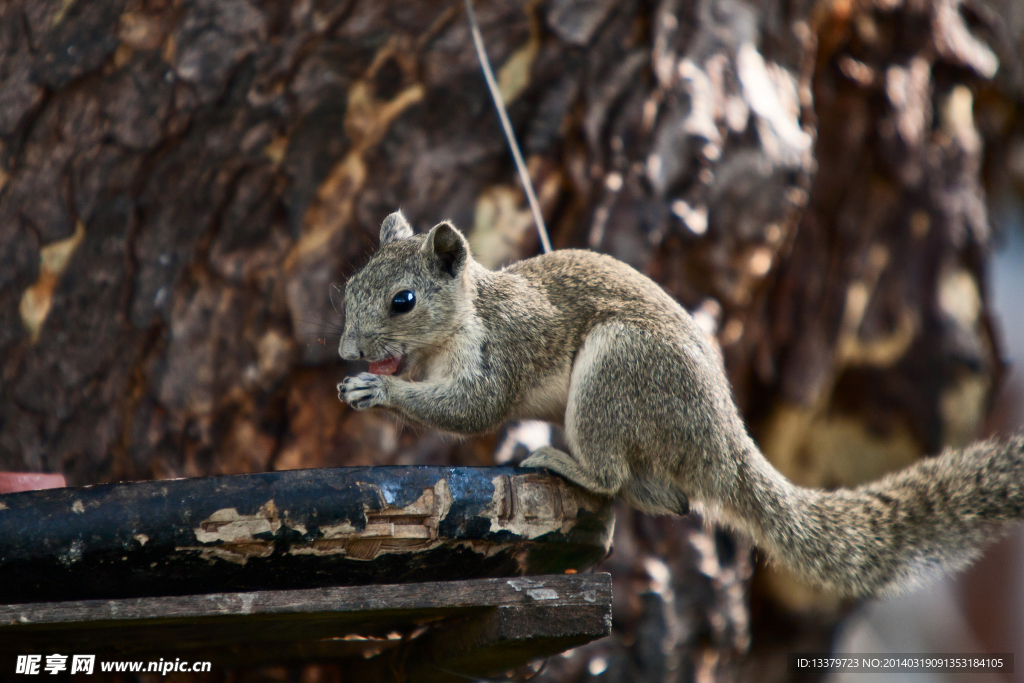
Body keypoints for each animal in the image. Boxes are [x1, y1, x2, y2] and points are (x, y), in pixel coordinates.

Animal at [339, 209, 1024, 598]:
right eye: (349, 286)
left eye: (403, 301)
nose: (347, 351)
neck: (457, 322)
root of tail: (721, 440)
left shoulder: (502, 348)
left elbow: (474, 409)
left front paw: (379, 391)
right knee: (671, 499)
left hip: (621, 369)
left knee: (610, 472)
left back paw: (563, 463)